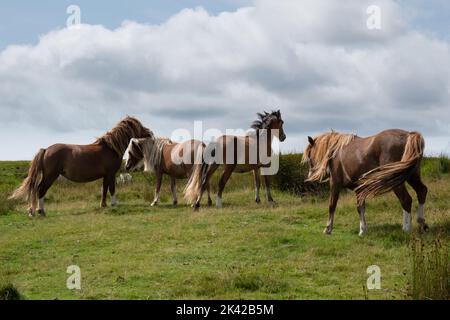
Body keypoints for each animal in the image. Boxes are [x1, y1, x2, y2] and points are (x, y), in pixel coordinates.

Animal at [8, 116, 152, 216]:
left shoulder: (105, 176)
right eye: (139, 125)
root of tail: (46, 149)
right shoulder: (111, 174)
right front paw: (114, 204)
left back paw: (33, 211)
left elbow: (104, 190)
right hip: (50, 176)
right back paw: (40, 211)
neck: (110, 148)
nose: (150, 133)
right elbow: (112, 189)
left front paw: (103, 205)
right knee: (40, 190)